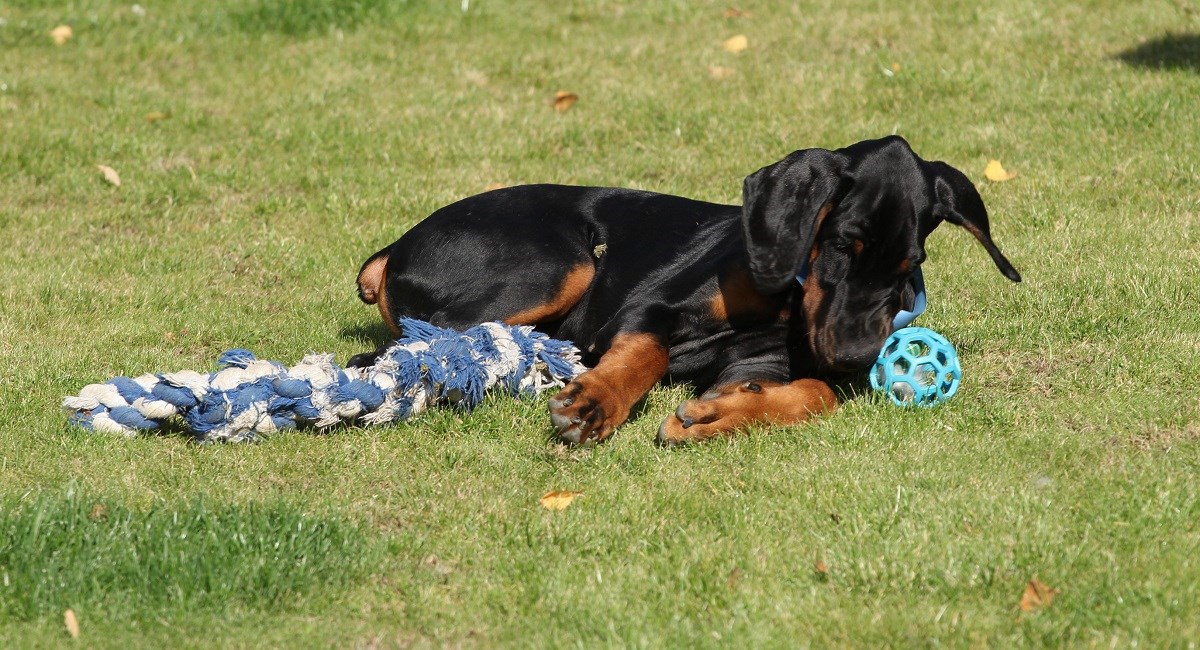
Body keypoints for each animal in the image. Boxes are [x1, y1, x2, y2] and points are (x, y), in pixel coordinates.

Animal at [350, 134, 1022, 446]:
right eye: (840, 245)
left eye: (912, 264)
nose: (859, 359)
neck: (789, 298)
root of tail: (394, 248)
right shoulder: (649, 306)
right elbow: (646, 352)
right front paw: (596, 402)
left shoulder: (760, 361)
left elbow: (815, 394)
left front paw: (714, 415)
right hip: (563, 263)